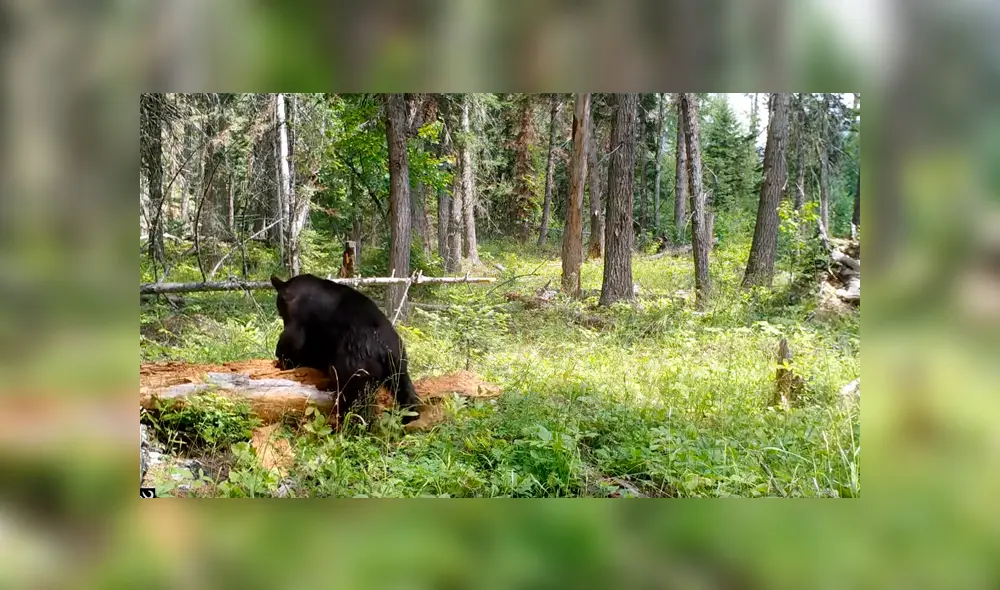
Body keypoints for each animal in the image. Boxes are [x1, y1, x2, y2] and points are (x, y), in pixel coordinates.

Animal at [270, 273, 421, 425]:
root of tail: (384, 349)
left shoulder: (301, 319)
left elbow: (293, 341)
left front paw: (284, 361)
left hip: (355, 364)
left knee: (355, 397)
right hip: (398, 362)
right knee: (403, 387)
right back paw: (410, 416)